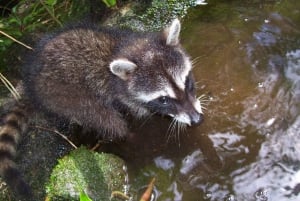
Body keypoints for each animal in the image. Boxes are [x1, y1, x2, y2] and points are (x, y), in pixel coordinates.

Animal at [0, 18, 204, 197]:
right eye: (163, 99)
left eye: (187, 82)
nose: (197, 119)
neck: (121, 49)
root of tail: (31, 88)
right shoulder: (124, 97)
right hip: (65, 96)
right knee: (103, 118)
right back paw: (129, 135)